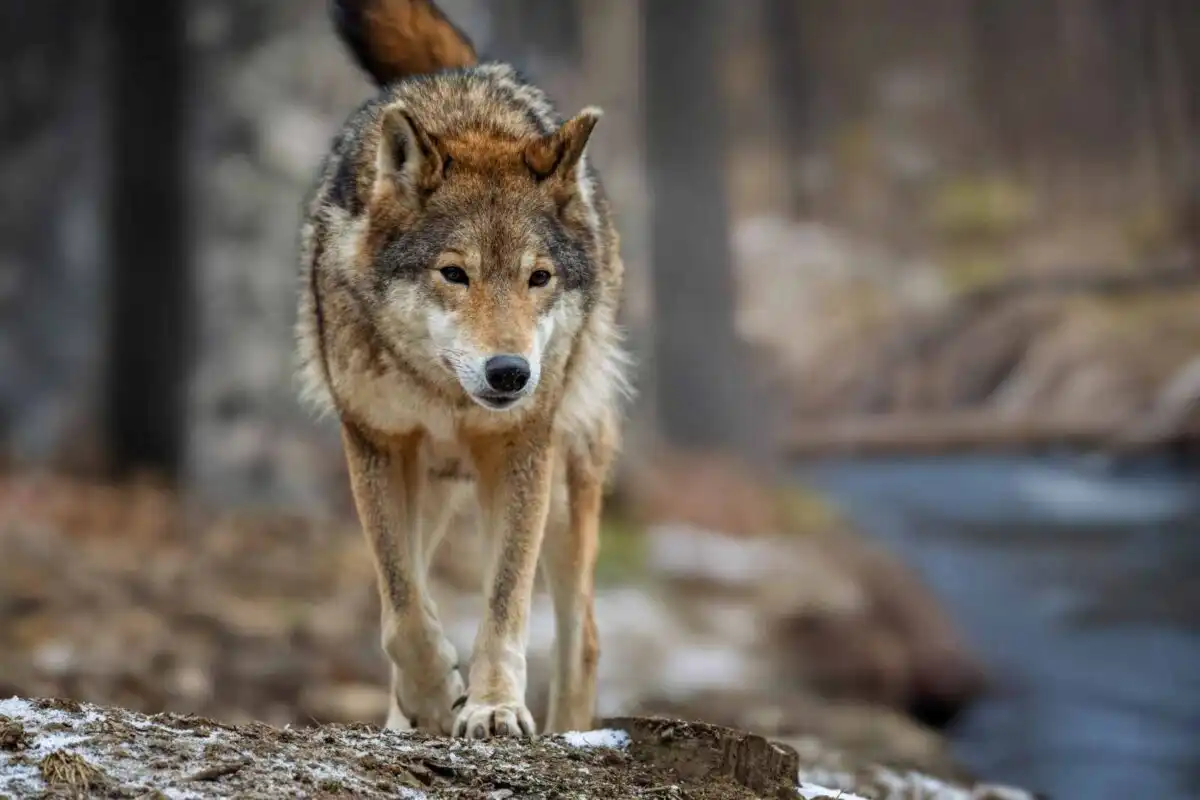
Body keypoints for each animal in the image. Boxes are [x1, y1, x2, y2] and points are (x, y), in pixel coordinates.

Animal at [295, 0, 629, 739]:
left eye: (538, 278)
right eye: (455, 273)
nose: (510, 374)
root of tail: (469, 71)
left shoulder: (520, 451)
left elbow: (504, 604)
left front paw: (494, 707)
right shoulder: (378, 442)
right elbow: (401, 605)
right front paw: (429, 697)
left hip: (565, 482)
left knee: (586, 637)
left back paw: (572, 729)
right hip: (435, 484)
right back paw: (409, 712)